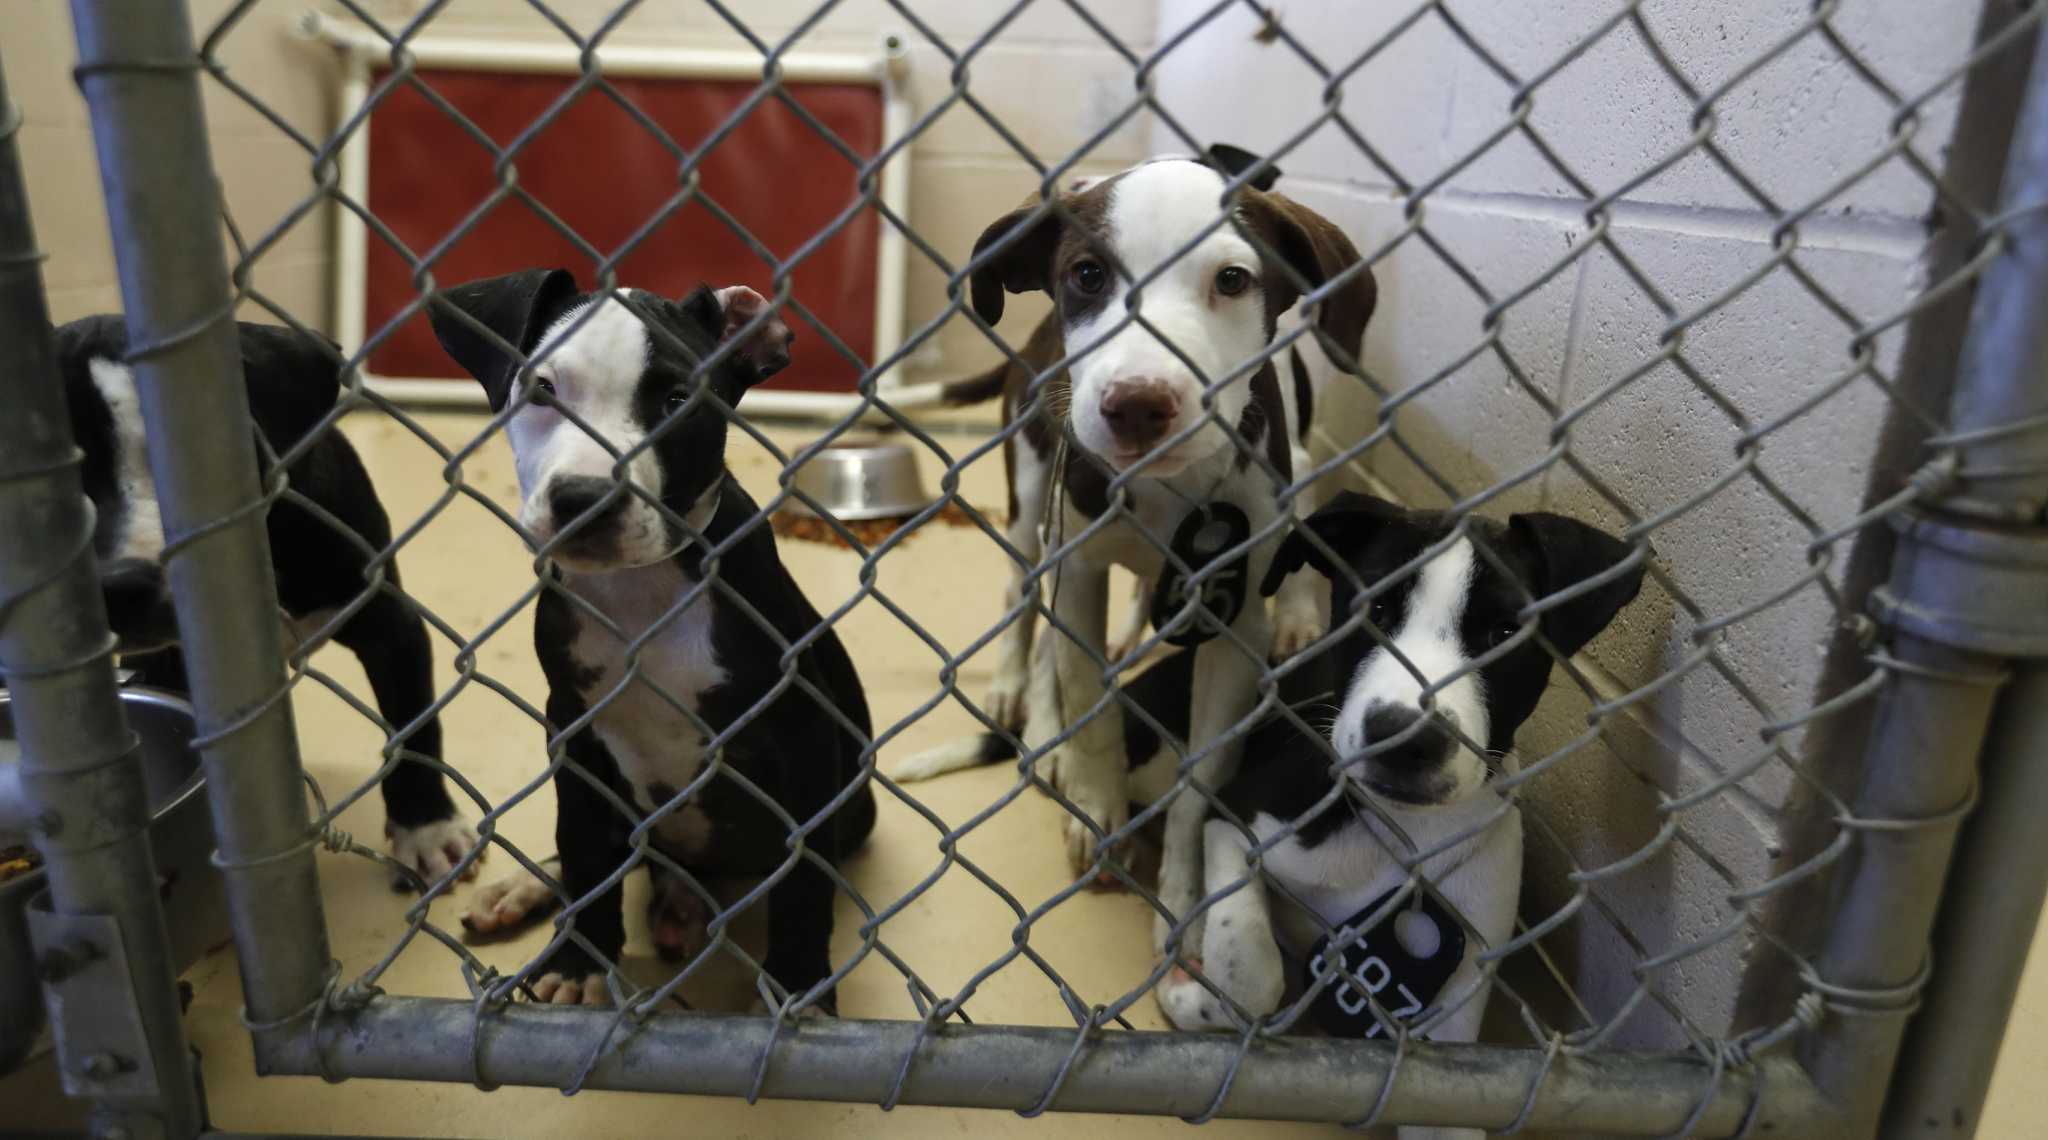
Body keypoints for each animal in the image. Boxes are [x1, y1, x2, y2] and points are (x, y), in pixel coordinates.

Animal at [428, 270, 876, 1011]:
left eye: (675, 400)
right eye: (542, 390)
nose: (585, 499)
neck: (643, 593)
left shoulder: (805, 736)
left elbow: (803, 881)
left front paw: (799, 986)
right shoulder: (572, 730)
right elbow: (584, 848)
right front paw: (579, 961)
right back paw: (534, 889)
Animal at [925, 155, 1376, 966]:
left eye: (1233, 279)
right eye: (1088, 274)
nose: (1137, 404)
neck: (1170, 490)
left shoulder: (1236, 624)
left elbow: (1201, 782)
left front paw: (1185, 902)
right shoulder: (1077, 568)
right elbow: (1091, 701)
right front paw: (1098, 809)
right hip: (1031, 505)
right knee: (1021, 605)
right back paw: (1022, 706)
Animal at [1155, 493, 1646, 1137]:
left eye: (1504, 632)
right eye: (1377, 608)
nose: (1404, 736)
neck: (1401, 831)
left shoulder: (1452, 1059)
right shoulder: (1240, 820)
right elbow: (1253, 967)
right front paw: (1192, 997)